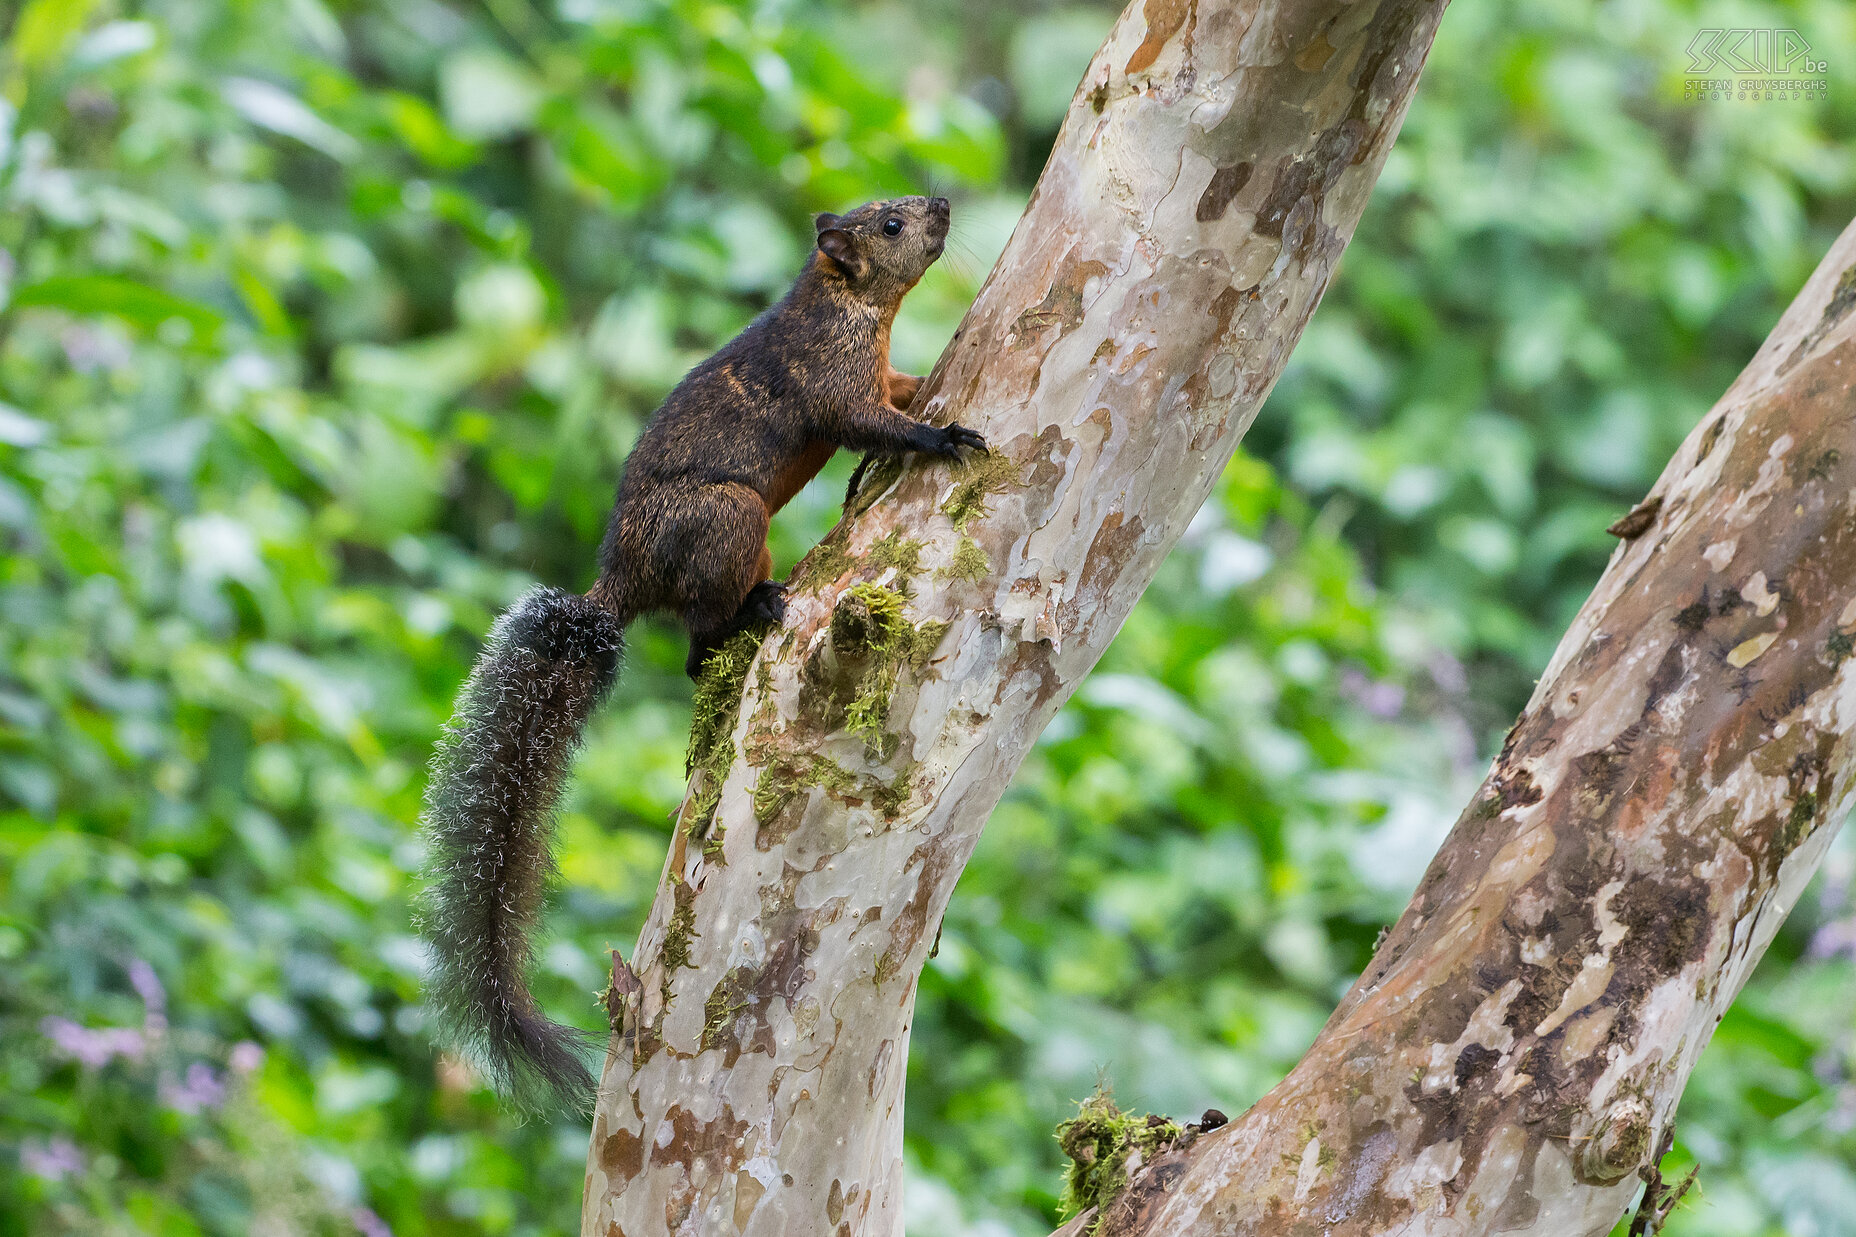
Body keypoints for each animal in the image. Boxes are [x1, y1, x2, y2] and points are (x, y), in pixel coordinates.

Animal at [419, 195, 987, 1106]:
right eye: (890, 225)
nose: (939, 202)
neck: (847, 303)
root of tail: (618, 586)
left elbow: (897, 392)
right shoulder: (830, 378)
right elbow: (869, 420)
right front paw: (945, 436)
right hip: (730, 518)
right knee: (697, 640)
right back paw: (756, 609)